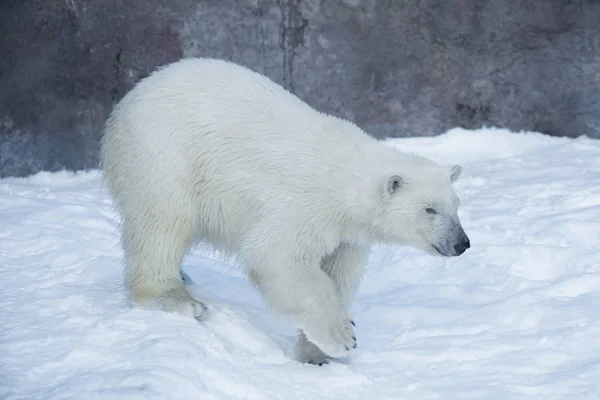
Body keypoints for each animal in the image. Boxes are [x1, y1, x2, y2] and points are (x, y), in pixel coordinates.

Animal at [101, 57, 472, 366]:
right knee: (162, 222)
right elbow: (277, 257)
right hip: (163, 152)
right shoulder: (304, 204)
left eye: (455, 206)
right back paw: (175, 298)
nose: (462, 244)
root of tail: (131, 98)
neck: (346, 179)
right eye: (429, 209)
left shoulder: (346, 236)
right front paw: (341, 337)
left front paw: (315, 352)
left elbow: (339, 272)